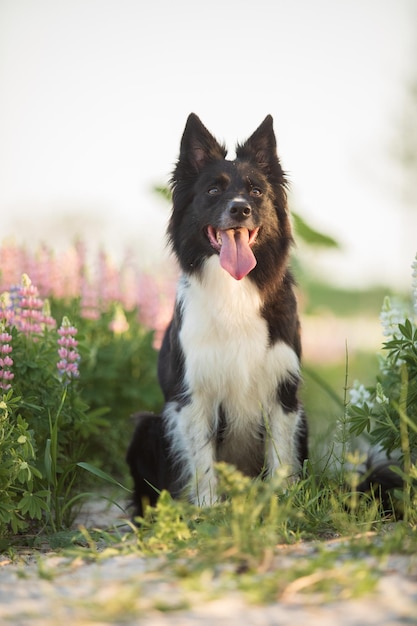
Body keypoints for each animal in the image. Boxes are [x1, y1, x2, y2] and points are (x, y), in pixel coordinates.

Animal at [125, 114, 308, 516]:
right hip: (146, 426)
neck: (234, 288)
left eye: (256, 192)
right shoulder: (194, 394)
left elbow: (280, 455)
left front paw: (280, 504)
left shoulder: (282, 392)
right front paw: (208, 510)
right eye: (212, 191)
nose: (240, 209)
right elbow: (202, 459)